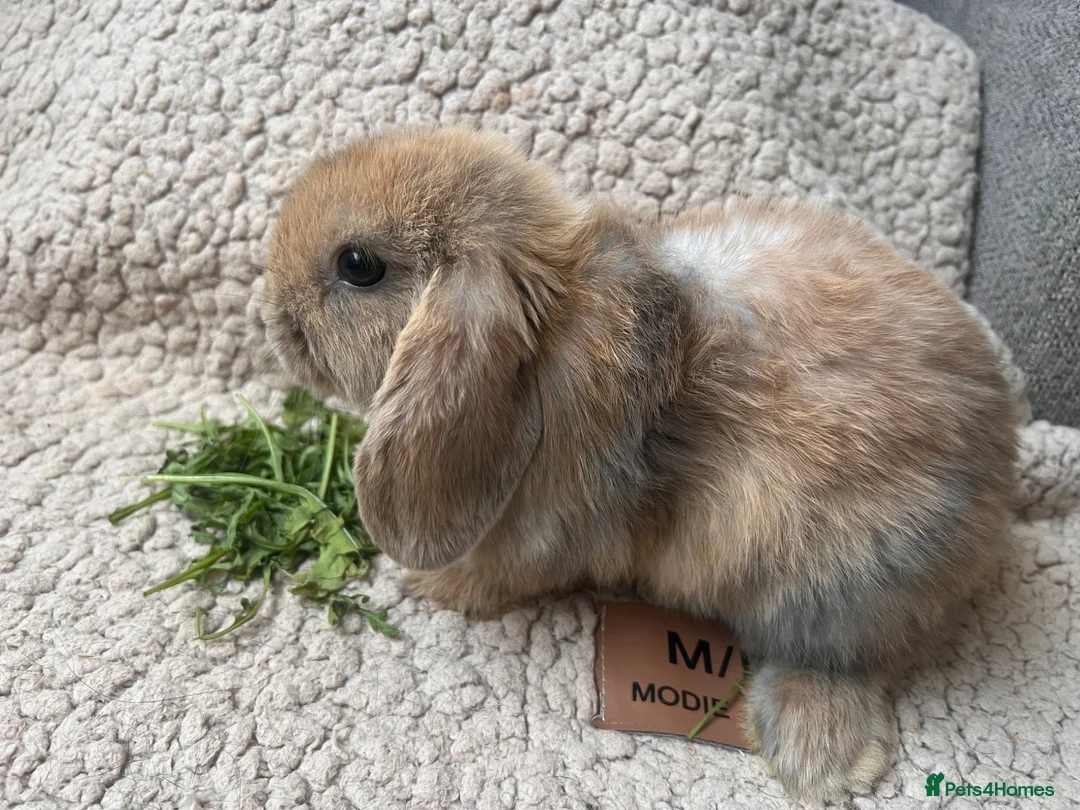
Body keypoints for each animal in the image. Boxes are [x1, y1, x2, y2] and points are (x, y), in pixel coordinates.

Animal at [262, 127, 1017, 805]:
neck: (550, 329)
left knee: (843, 660)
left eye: (358, 264)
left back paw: (817, 757)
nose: (273, 320)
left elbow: (495, 575)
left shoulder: (543, 532)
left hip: (826, 583)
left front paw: (426, 584)